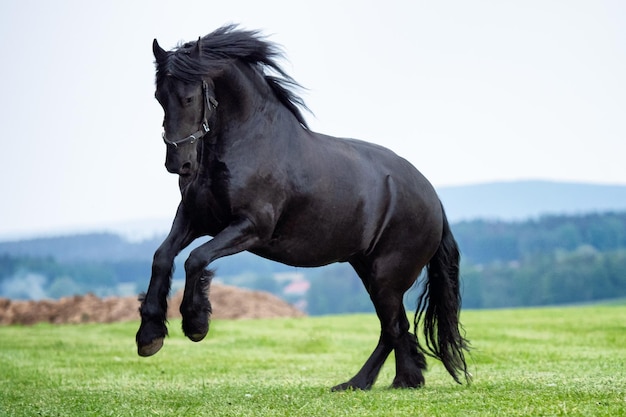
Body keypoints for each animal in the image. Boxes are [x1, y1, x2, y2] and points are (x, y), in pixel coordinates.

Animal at [136, 26, 468, 390]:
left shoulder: (251, 227)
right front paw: (149, 336)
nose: (178, 164)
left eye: (189, 97)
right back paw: (394, 381)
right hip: (369, 269)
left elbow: (196, 259)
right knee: (396, 327)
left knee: (392, 327)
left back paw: (365, 382)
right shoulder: (195, 219)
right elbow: (161, 257)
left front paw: (196, 323)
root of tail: (433, 198)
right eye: (159, 97)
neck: (248, 143)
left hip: (387, 275)